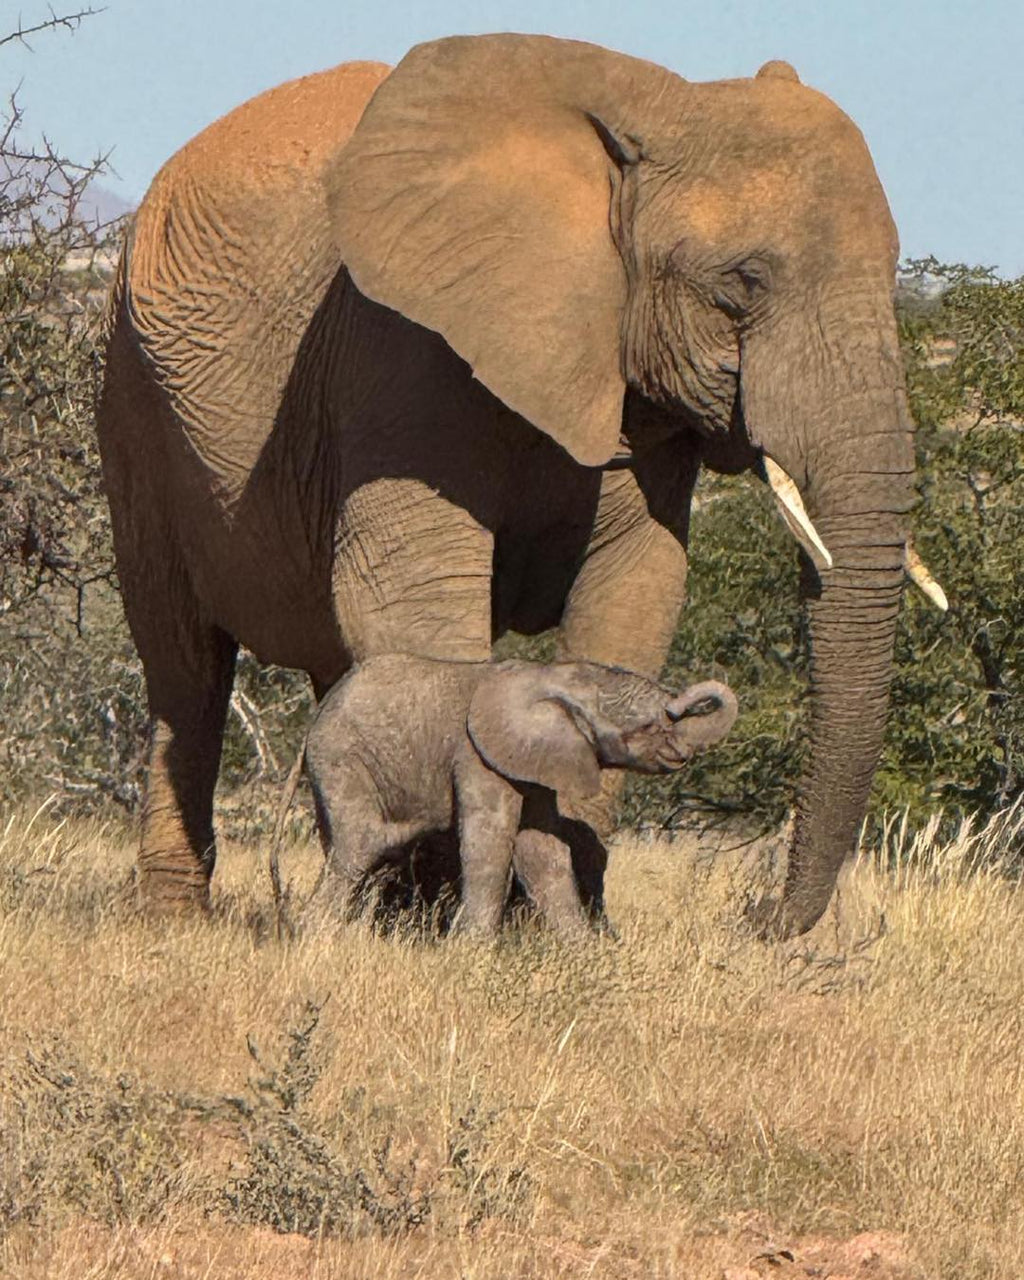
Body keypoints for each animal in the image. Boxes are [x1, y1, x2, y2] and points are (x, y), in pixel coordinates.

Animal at [303, 655, 738, 935]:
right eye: (647, 728)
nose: (679, 752)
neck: (558, 676)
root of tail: (322, 708)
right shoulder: (478, 756)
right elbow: (490, 843)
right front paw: (470, 950)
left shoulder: (537, 761)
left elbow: (541, 851)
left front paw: (582, 950)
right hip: (340, 757)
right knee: (360, 842)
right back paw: (318, 935)